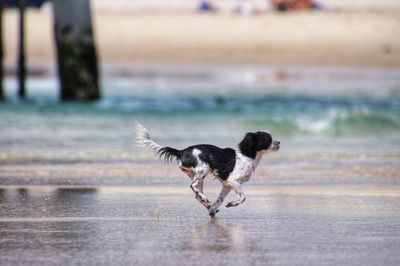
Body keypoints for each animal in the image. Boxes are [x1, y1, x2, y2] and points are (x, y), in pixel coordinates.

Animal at [133, 121, 280, 217]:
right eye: (268, 139)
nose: (278, 142)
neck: (247, 156)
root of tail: (182, 151)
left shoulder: (227, 185)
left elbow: (220, 200)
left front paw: (213, 209)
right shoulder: (234, 181)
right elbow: (243, 197)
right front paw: (232, 203)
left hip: (197, 175)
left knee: (196, 193)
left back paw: (207, 203)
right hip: (204, 169)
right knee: (193, 186)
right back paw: (204, 198)